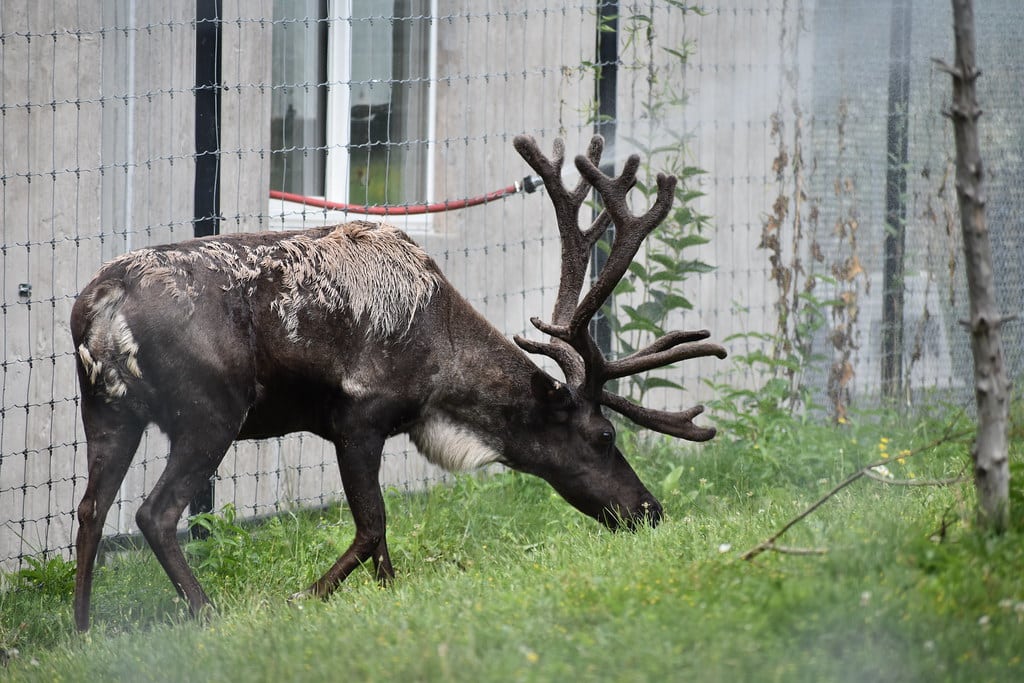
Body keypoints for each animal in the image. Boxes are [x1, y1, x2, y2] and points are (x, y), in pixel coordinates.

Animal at [70, 135, 726, 631]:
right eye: (603, 437)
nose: (649, 510)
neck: (441, 373)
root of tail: (101, 305)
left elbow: (382, 539)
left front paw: (386, 595)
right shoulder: (357, 418)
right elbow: (372, 526)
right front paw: (306, 596)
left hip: (106, 409)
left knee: (90, 509)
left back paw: (82, 629)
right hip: (210, 412)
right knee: (154, 512)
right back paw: (207, 613)